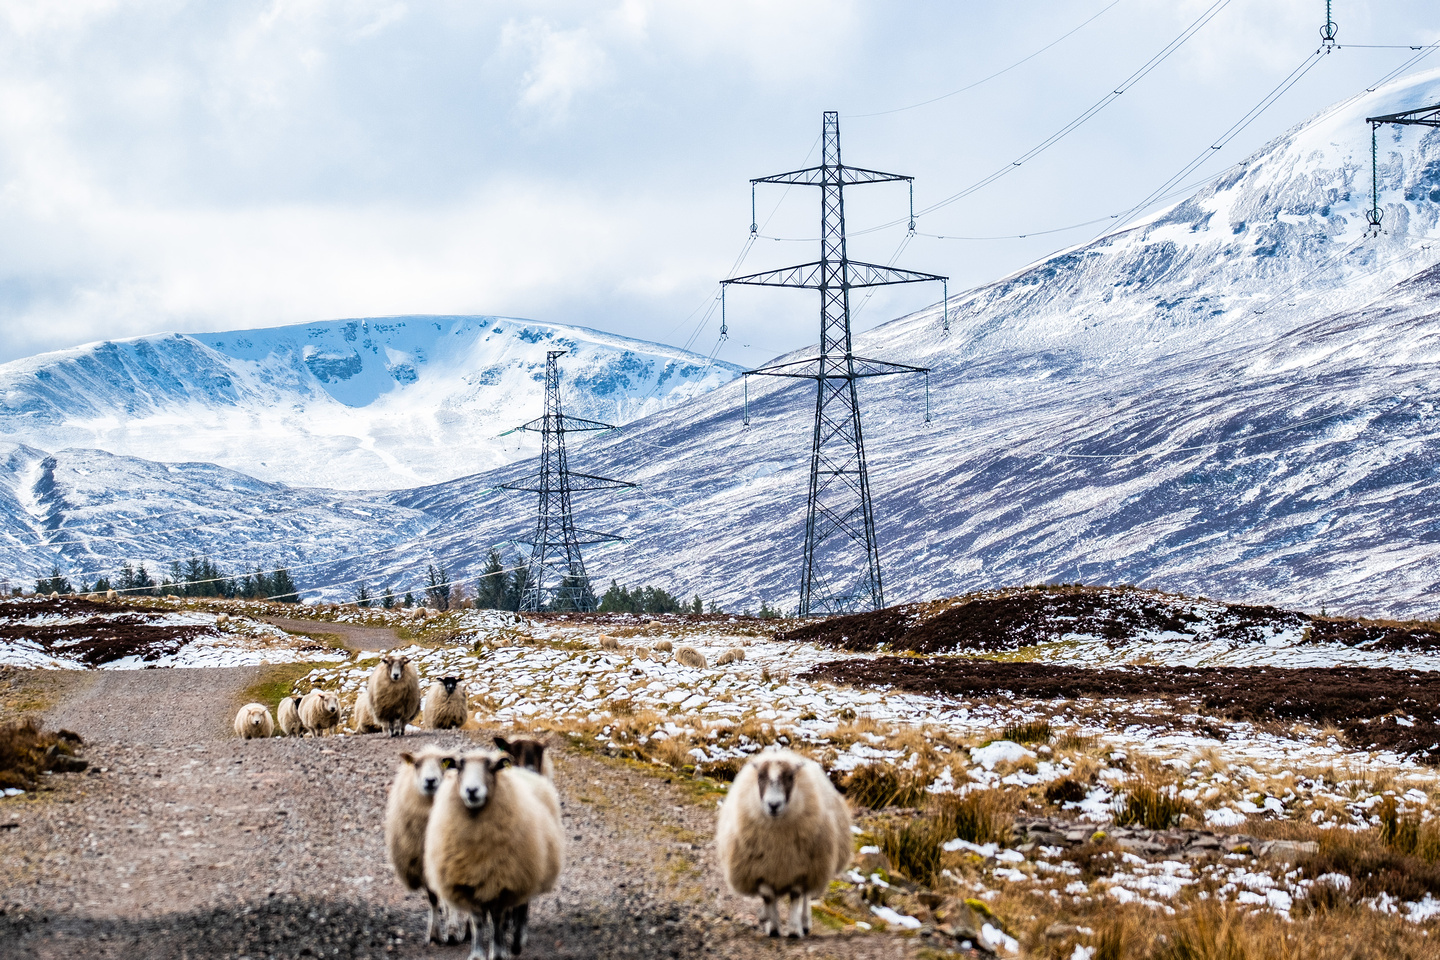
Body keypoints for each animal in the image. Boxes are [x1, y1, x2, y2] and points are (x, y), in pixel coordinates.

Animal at [383, 748, 466, 944]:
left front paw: (452, 931)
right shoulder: (422, 864)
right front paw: (434, 934)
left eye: (443, 762)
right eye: (417, 764)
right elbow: (433, 897)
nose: (430, 780)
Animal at [420, 748, 561, 960]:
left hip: (527, 870)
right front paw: (478, 954)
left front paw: (498, 953)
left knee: (522, 907)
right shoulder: (468, 883)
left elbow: (497, 920)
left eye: (491, 767)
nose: (471, 790)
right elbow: (478, 921)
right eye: (460, 766)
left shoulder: (503, 882)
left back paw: (517, 942)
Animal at [714, 748, 846, 938]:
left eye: (790, 777)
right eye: (761, 777)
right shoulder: (759, 868)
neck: (777, 839)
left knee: (805, 896)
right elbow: (768, 896)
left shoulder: (802, 868)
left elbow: (796, 895)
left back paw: (804, 923)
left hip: (815, 863)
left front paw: (793, 929)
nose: (773, 805)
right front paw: (773, 926)